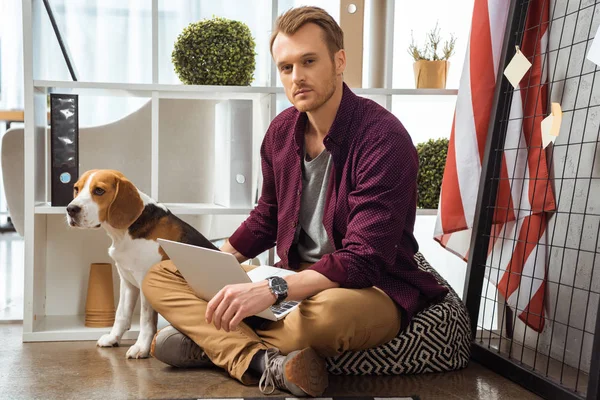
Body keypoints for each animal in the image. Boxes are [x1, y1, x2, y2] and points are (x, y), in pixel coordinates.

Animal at [68, 169, 218, 360]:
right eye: (76, 188)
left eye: (99, 191)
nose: (70, 209)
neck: (123, 233)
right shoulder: (127, 281)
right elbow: (121, 314)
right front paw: (113, 338)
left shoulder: (145, 280)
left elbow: (145, 320)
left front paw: (141, 347)